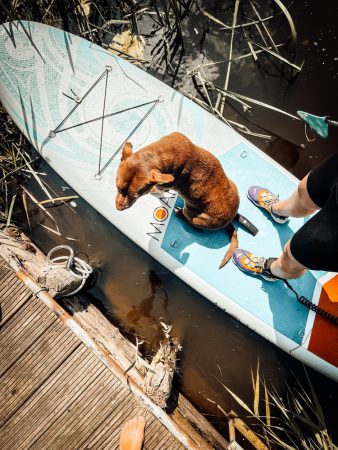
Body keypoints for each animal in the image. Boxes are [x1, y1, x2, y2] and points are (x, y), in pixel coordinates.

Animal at [116, 133, 240, 268]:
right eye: (118, 188)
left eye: (136, 195)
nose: (118, 208)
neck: (158, 154)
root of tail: (230, 220)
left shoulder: (163, 185)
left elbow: (156, 189)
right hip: (233, 184)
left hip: (194, 216)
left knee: (196, 226)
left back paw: (180, 213)